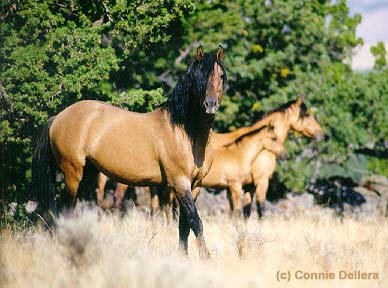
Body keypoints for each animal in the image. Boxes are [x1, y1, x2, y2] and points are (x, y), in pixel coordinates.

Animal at [33, 45, 227, 258]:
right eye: (199, 77)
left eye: (221, 75)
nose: (210, 105)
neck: (185, 131)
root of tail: (58, 117)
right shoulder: (179, 183)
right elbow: (195, 221)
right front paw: (205, 257)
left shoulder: (195, 185)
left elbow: (184, 225)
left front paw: (183, 256)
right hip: (72, 174)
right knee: (66, 211)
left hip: (88, 175)